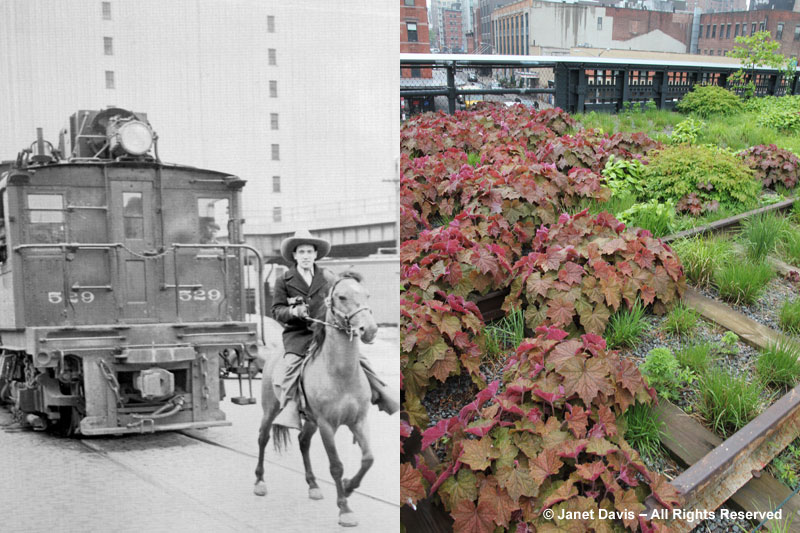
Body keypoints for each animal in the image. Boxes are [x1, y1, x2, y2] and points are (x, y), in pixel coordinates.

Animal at [255, 272, 380, 524]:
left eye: (367, 295)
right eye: (342, 296)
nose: (370, 330)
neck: (341, 374)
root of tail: (273, 352)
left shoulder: (359, 421)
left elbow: (368, 459)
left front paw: (349, 487)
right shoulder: (326, 425)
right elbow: (336, 466)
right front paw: (344, 509)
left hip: (310, 420)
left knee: (303, 441)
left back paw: (313, 485)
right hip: (271, 409)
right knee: (263, 438)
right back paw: (260, 482)